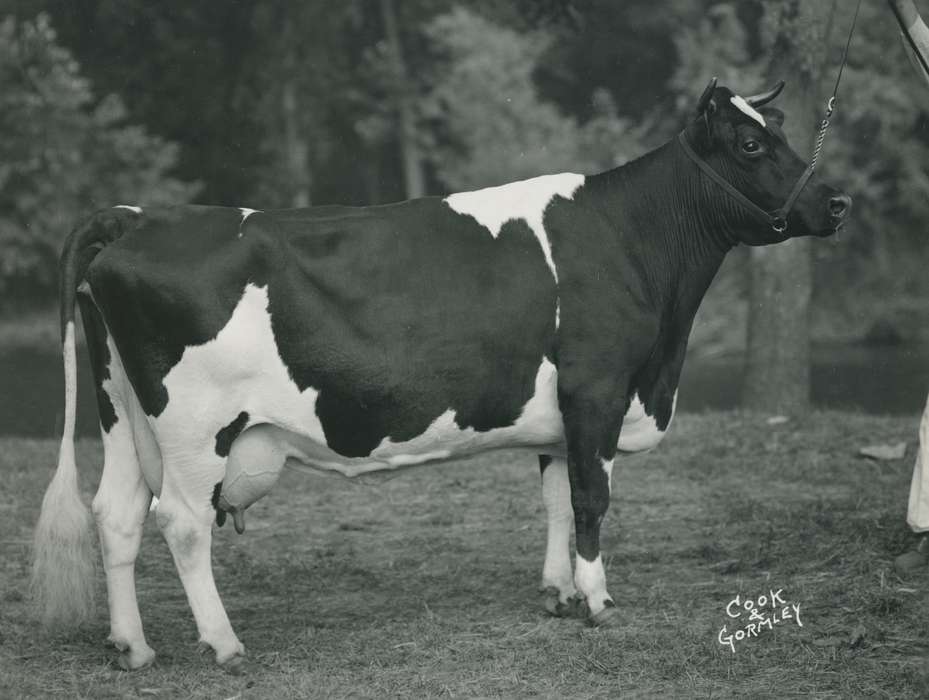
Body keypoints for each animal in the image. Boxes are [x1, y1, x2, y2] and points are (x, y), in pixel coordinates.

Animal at [32, 79, 851, 670]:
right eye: (751, 142)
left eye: (779, 132)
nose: (836, 200)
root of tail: (140, 215)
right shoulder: (597, 390)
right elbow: (590, 499)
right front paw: (595, 600)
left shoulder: (560, 413)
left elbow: (555, 498)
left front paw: (556, 594)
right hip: (195, 426)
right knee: (182, 521)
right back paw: (225, 645)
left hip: (123, 412)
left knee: (116, 514)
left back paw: (133, 647)